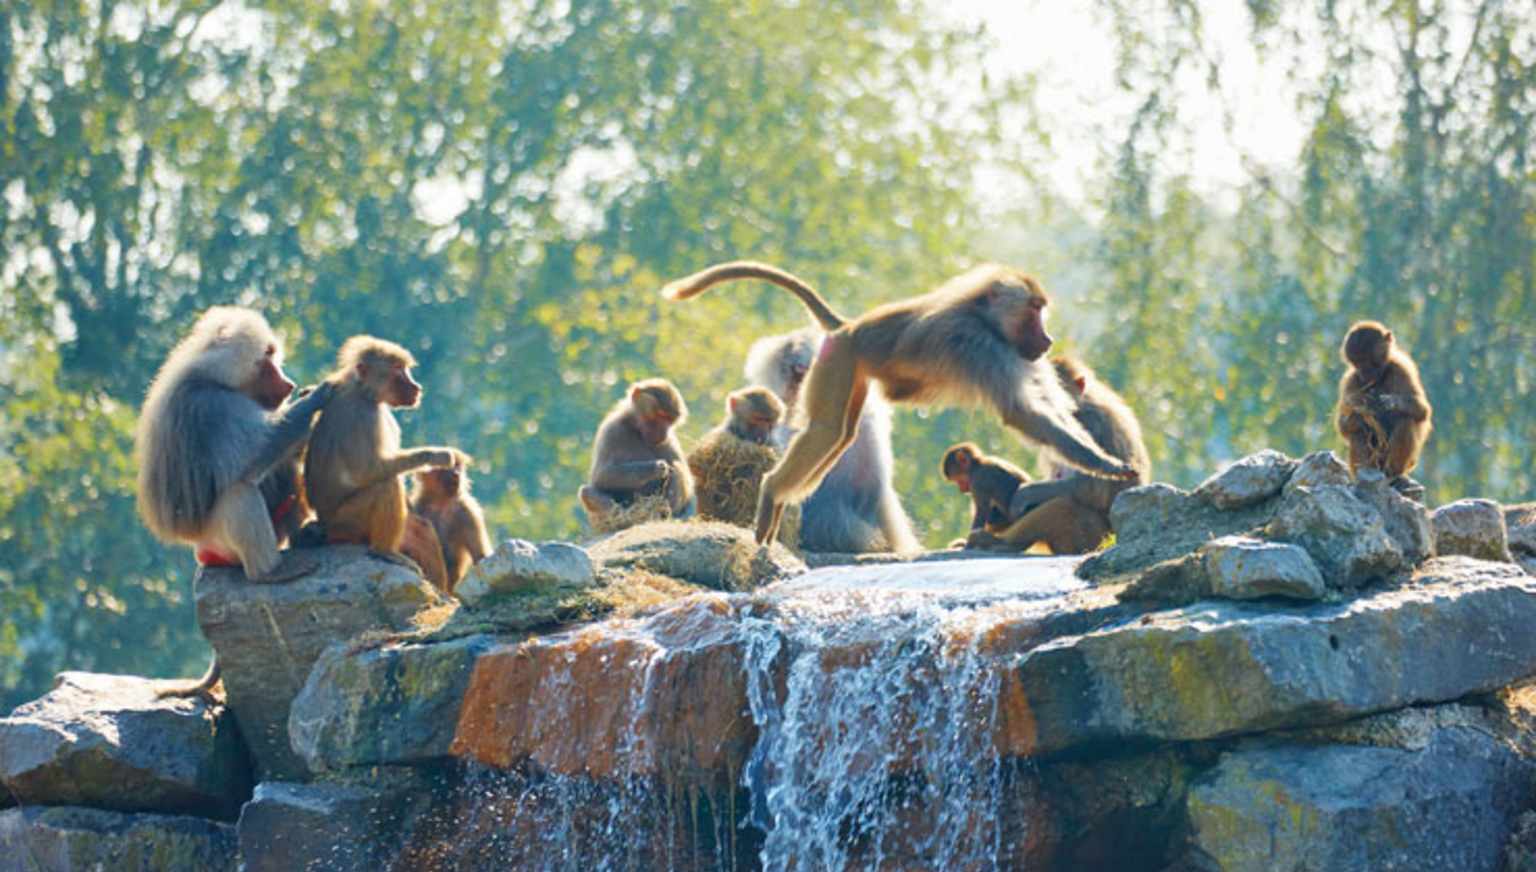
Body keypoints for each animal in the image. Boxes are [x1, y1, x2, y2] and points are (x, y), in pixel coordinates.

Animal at [135, 306, 335, 698]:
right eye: (266, 361)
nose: (289, 385)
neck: (213, 376)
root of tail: (203, 555)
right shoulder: (216, 408)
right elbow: (258, 452)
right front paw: (316, 397)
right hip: (220, 540)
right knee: (238, 492)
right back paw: (270, 572)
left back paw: (305, 536)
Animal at [303, 336, 460, 569]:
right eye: (397, 369)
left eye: (404, 368)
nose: (417, 387)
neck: (365, 392)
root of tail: (324, 525)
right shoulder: (363, 416)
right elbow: (368, 471)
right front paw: (435, 455)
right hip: (345, 522)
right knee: (386, 484)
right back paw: (384, 551)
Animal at [410, 451, 493, 592]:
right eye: (447, 466)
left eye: (457, 465)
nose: (455, 473)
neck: (441, 501)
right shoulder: (417, 506)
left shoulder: (467, 512)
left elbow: (479, 556)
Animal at [578, 378, 696, 524]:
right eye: (660, 415)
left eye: (669, 420)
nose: (663, 434)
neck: (635, 429)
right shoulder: (612, 430)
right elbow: (601, 476)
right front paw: (656, 467)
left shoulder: (670, 440)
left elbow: (688, 483)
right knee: (586, 492)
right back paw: (629, 518)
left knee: (677, 468)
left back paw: (663, 513)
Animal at [1334, 320, 1432, 486]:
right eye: (1358, 363)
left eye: (1368, 361)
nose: (1365, 375)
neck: (1381, 376)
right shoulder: (1351, 381)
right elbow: (1344, 425)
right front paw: (1362, 415)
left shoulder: (1401, 368)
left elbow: (1422, 411)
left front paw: (1392, 402)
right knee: (1358, 432)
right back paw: (1366, 471)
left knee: (1405, 419)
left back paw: (1393, 474)